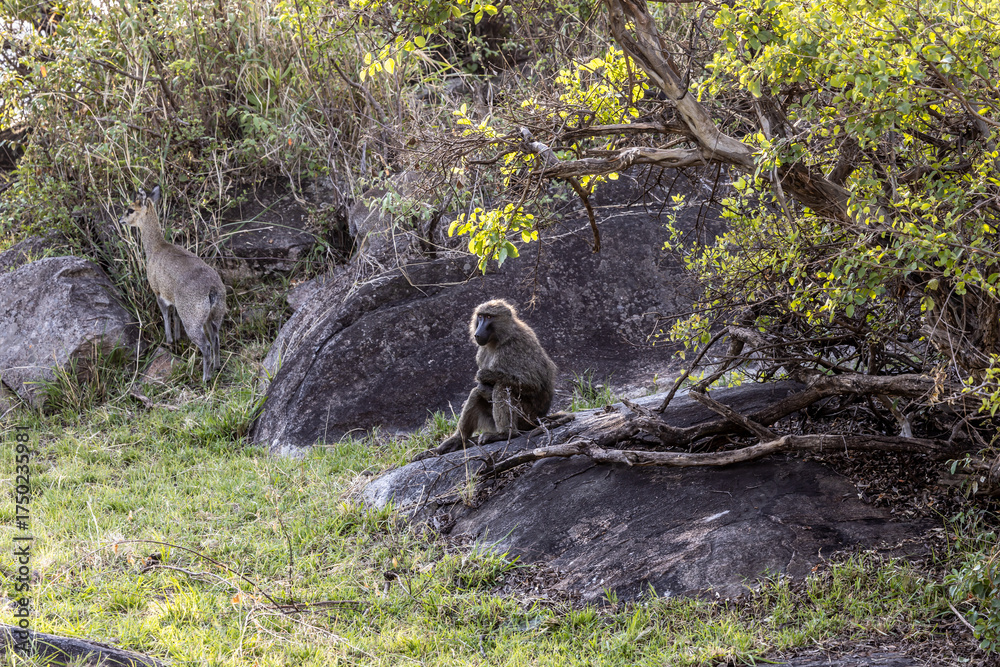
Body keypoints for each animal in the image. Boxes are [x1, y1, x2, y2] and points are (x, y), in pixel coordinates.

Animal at [434, 299, 558, 455]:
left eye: (489, 317)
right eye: (480, 316)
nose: (477, 334)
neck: (498, 339)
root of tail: (540, 417)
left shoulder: (513, 348)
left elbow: (533, 384)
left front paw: (485, 375)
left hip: (527, 416)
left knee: (501, 386)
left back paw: (504, 434)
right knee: (476, 393)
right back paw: (457, 440)